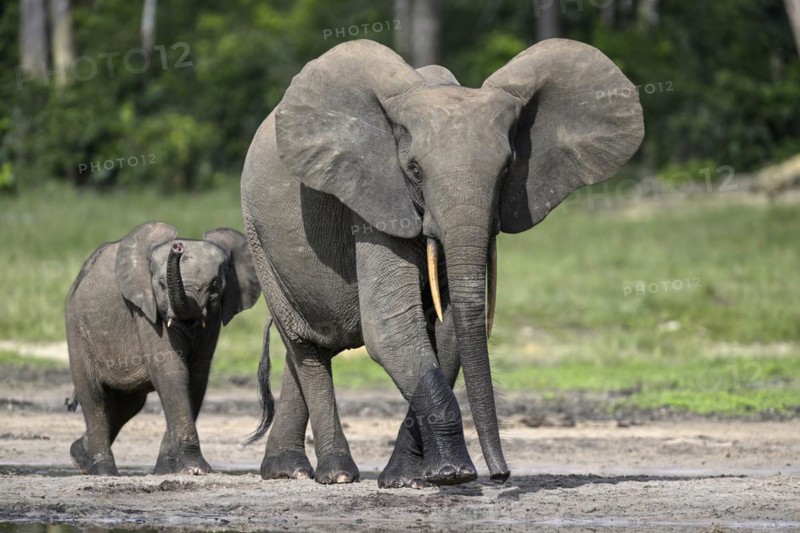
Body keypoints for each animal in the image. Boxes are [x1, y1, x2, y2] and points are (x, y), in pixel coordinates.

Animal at [65, 222, 260, 476]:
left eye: (215, 286)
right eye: (161, 284)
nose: (177, 248)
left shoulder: (214, 316)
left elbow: (196, 377)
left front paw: (172, 471)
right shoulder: (145, 310)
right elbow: (172, 370)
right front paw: (194, 469)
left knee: (128, 404)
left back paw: (79, 456)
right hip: (76, 328)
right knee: (94, 397)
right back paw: (104, 471)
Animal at [241, 38, 643, 488]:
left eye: (507, 168)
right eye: (415, 170)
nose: (501, 474)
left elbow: (448, 330)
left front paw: (411, 479)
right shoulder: (375, 202)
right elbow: (392, 331)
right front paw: (453, 475)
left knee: (306, 349)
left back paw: (285, 469)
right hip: (259, 240)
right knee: (305, 348)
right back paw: (336, 474)